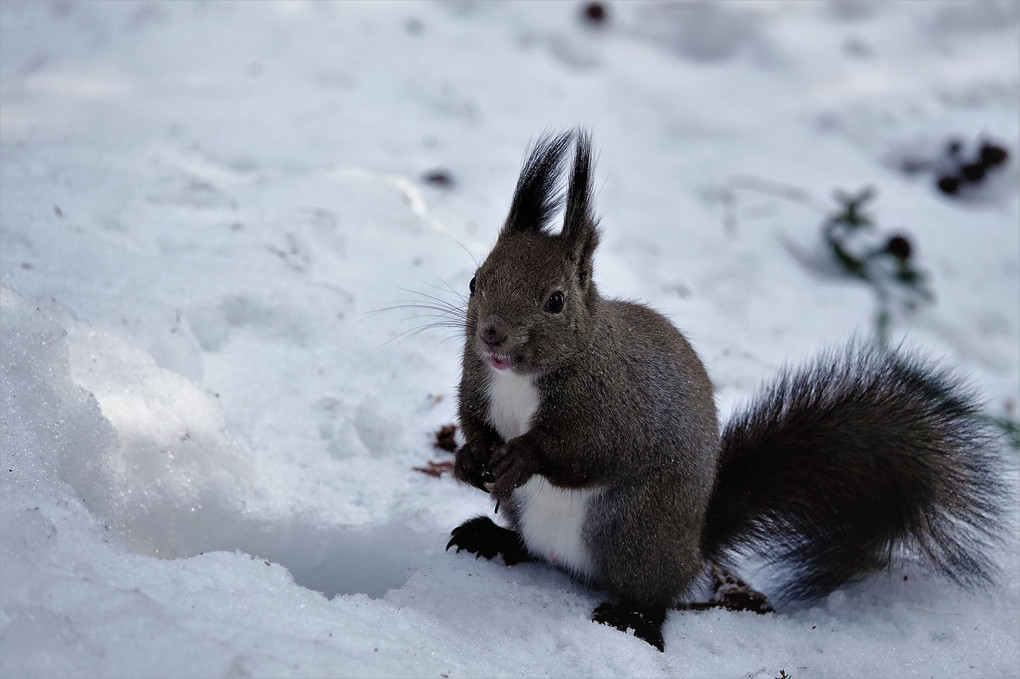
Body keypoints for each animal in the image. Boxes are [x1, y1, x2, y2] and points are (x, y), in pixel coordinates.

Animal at [446, 128, 1003, 652]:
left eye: (556, 301)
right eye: (476, 281)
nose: (491, 334)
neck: (520, 378)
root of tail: (694, 547)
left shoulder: (614, 404)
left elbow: (586, 452)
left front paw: (521, 457)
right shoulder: (477, 381)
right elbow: (474, 420)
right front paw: (469, 458)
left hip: (639, 532)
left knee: (655, 595)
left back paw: (633, 619)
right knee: (534, 550)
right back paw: (492, 538)